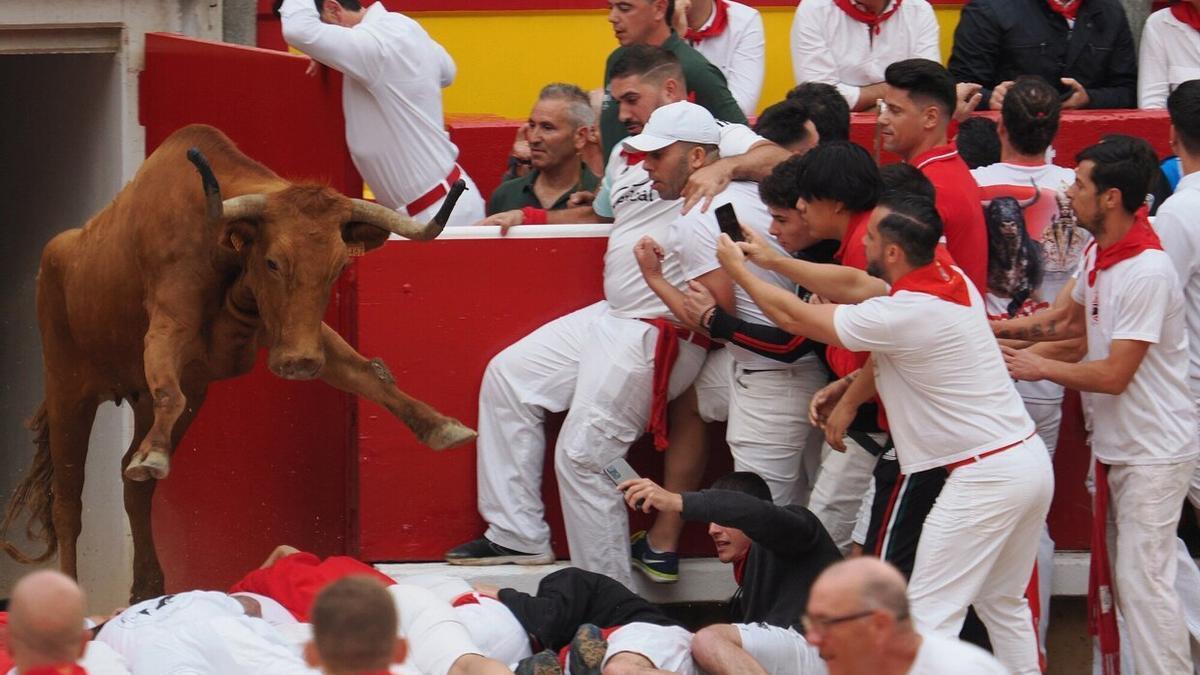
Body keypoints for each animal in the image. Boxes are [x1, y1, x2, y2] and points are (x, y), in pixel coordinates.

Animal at [0, 124, 477, 598]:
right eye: (272, 262)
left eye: (339, 267)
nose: (300, 365)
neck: (227, 255)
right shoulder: (166, 327)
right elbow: (168, 392)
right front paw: (154, 456)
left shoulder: (297, 333)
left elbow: (368, 375)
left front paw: (440, 427)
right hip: (66, 386)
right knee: (68, 502)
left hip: (157, 397)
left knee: (133, 487)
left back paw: (149, 582)